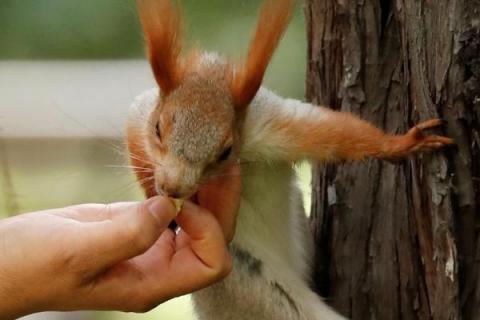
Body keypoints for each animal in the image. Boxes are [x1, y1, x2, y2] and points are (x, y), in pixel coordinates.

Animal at [125, 1, 452, 318]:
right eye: (157, 129)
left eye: (226, 152)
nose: (172, 188)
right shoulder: (142, 114)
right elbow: (133, 134)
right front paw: (154, 195)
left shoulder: (274, 128)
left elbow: (338, 134)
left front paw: (403, 143)